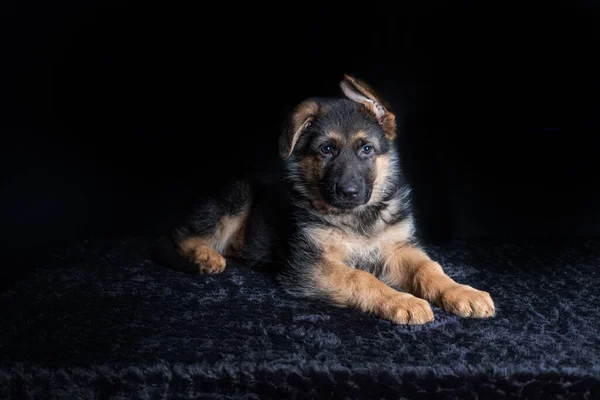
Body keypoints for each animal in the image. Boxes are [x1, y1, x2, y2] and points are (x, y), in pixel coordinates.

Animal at [162, 75, 494, 324]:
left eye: (366, 149)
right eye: (326, 150)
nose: (348, 192)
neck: (358, 217)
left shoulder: (398, 248)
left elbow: (430, 269)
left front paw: (463, 293)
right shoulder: (309, 265)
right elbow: (361, 278)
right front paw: (403, 301)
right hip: (237, 197)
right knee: (183, 234)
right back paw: (206, 256)